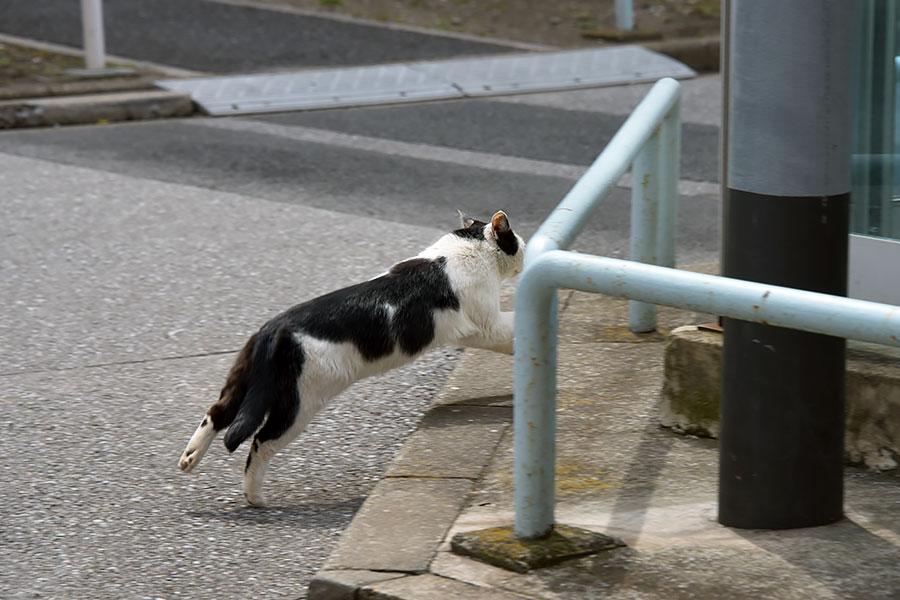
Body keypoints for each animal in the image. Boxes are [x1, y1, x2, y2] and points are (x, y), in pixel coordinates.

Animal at [177, 211, 524, 506]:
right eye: (517, 239)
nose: (524, 249)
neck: (466, 248)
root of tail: (274, 330)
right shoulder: (486, 324)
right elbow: (512, 324)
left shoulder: (477, 330)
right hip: (298, 403)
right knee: (261, 441)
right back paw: (254, 497)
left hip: (244, 382)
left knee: (218, 413)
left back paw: (189, 458)